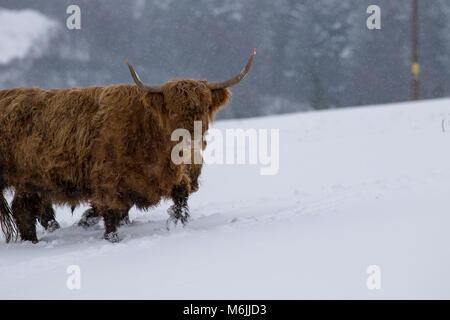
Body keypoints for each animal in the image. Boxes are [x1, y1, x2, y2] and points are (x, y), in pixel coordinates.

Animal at [0, 48, 253, 242]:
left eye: (204, 108)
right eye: (172, 110)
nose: (192, 139)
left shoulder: (171, 177)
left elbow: (180, 198)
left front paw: (177, 224)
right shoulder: (108, 182)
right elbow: (111, 214)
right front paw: (111, 239)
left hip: (33, 183)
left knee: (27, 208)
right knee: (25, 210)